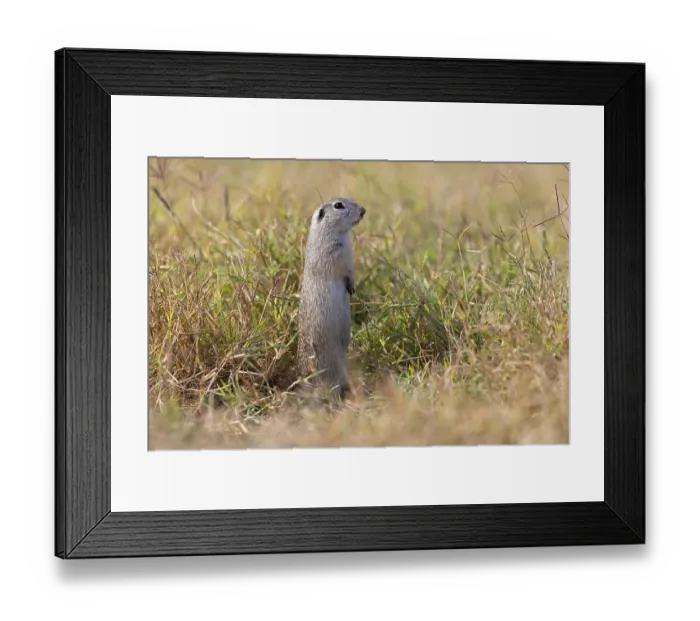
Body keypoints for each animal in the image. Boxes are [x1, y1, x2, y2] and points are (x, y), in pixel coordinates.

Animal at [297, 197, 366, 399]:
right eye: (338, 205)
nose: (363, 210)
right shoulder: (336, 257)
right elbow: (343, 271)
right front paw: (350, 287)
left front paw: (352, 289)